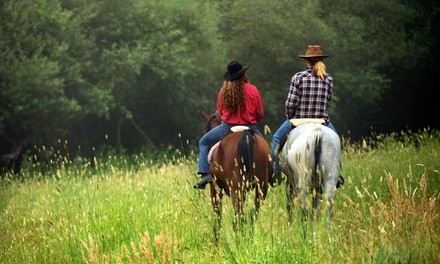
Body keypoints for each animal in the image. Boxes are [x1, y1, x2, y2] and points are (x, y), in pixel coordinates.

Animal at [200, 111, 276, 241]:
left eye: (205, 129)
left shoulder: (215, 188)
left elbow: (217, 216)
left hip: (236, 188)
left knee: (238, 217)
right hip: (261, 187)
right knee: (252, 214)